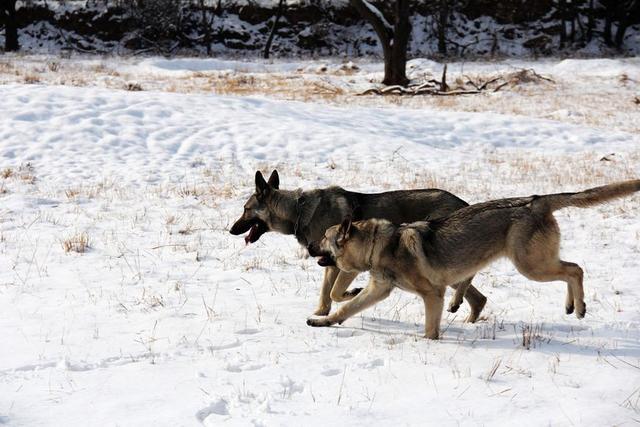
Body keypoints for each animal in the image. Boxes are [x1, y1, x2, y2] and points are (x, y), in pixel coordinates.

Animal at [308, 179, 636, 340]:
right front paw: (322, 321)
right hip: (529, 263)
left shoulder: (432, 295)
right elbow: (345, 308)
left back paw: (578, 308)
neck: (378, 245)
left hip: (531, 266)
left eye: (324, 237)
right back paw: (570, 306)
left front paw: (428, 344)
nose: (309, 247)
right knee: (569, 270)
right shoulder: (378, 289)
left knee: (575, 269)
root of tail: (536, 200)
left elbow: (430, 330)